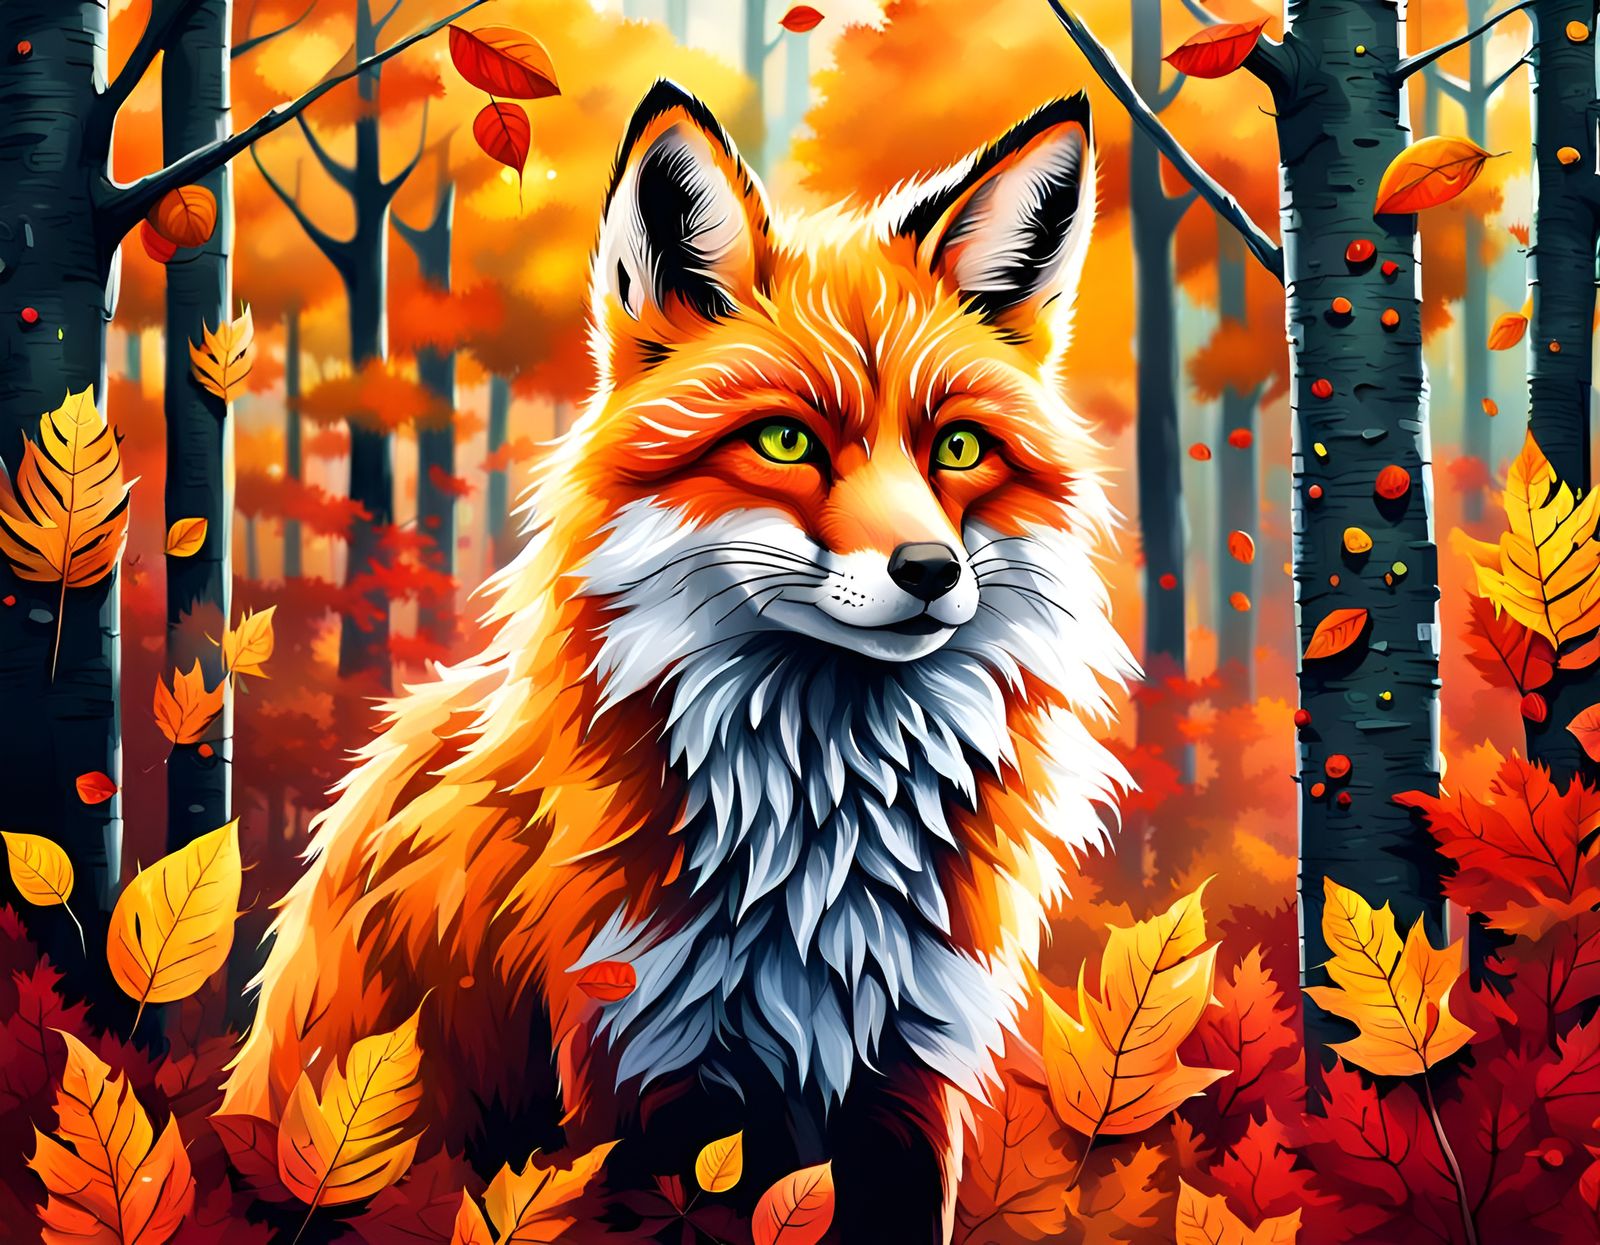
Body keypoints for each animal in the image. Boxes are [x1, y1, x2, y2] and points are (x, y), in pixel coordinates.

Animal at [220, 81, 1133, 1242]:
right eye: (786, 443)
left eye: (960, 449)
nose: (931, 571)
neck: (816, 858)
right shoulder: (638, 1092)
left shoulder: (907, 1079)